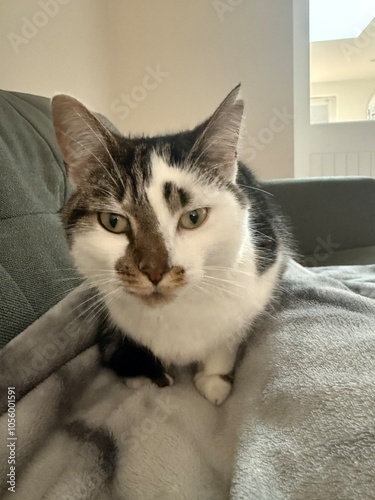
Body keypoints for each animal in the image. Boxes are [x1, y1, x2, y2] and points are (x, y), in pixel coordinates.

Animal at [51, 85, 290, 406]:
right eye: (113, 222)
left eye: (193, 217)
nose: (155, 271)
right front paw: (145, 375)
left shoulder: (259, 283)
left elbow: (227, 338)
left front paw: (214, 380)